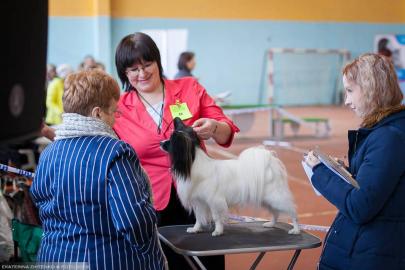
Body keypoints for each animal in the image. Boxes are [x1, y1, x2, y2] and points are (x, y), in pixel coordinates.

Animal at [159, 118, 298, 236]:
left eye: (170, 141)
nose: (160, 142)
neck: (193, 163)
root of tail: (271, 163)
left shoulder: (215, 201)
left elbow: (216, 217)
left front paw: (218, 231)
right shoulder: (199, 202)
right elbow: (198, 218)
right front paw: (195, 229)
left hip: (275, 197)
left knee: (292, 212)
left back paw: (295, 230)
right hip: (267, 199)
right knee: (275, 212)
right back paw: (271, 224)